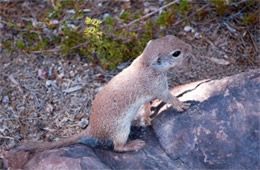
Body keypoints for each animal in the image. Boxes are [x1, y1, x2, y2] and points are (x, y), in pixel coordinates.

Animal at [19, 35, 191, 152]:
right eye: (176, 53)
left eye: (172, 37)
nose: (189, 47)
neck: (145, 64)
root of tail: (92, 129)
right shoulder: (158, 87)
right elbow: (169, 98)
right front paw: (183, 105)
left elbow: (148, 107)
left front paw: (150, 115)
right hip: (121, 130)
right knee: (118, 147)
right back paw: (134, 144)